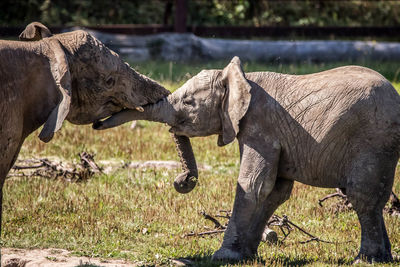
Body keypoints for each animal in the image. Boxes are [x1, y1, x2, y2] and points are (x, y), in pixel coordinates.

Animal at [94, 57, 400, 264]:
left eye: (189, 103)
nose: (182, 180)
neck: (241, 78)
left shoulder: (260, 126)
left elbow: (254, 184)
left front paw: (222, 257)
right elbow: (275, 192)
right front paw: (245, 256)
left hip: (372, 139)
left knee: (362, 195)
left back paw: (366, 260)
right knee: (376, 197)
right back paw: (384, 257)